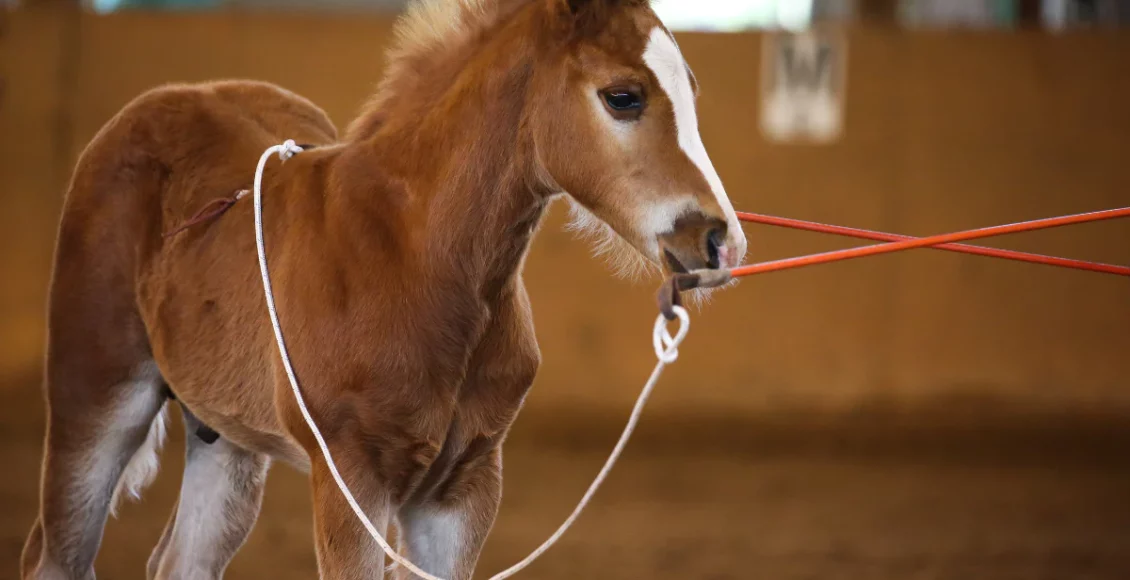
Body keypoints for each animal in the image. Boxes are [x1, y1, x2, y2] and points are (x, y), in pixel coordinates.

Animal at [20, 0, 747, 578]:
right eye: (623, 96)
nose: (720, 240)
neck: (414, 258)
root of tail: (164, 100)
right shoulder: (350, 476)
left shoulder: (464, 485)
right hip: (97, 399)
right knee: (56, 553)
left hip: (225, 438)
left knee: (181, 560)